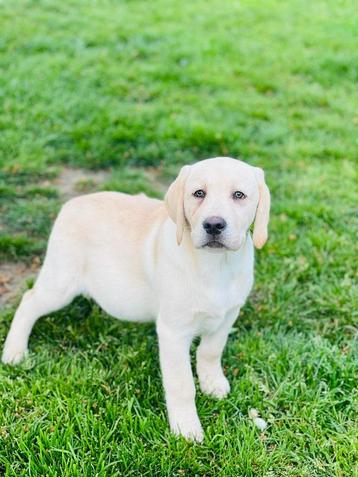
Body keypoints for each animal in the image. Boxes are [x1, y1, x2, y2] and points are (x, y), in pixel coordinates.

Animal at [2, 157, 268, 442]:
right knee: (28, 301)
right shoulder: (173, 332)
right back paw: (14, 351)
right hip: (60, 282)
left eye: (239, 195)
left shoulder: (227, 316)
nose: (214, 225)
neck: (216, 265)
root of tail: (72, 203)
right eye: (199, 193)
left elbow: (210, 351)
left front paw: (213, 383)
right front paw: (186, 428)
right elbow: (181, 384)